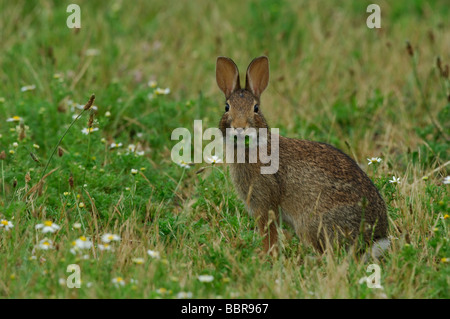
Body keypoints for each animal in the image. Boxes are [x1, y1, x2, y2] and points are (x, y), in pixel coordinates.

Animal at [216, 56, 388, 258]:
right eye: (227, 107)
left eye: (256, 108)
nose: (239, 127)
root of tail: (376, 239)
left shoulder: (265, 204)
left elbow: (269, 235)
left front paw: (265, 256)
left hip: (312, 222)